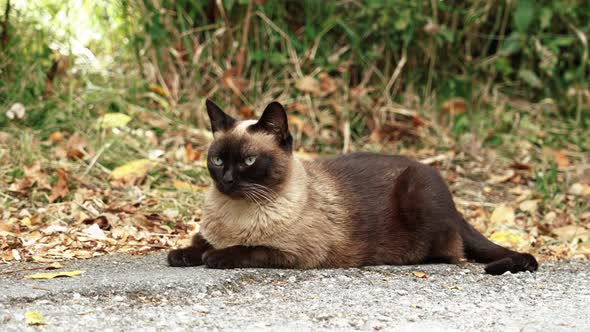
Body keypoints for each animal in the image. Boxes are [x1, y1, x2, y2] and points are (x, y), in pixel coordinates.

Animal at [168, 99, 540, 274]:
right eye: (218, 160)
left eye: (247, 161)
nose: (227, 180)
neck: (237, 213)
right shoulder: (209, 234)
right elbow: (193, 246)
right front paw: (183, 255)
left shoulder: (292, 253)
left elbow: (244, 250)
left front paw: (215, 257)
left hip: (419, 192)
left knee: (449, 253)